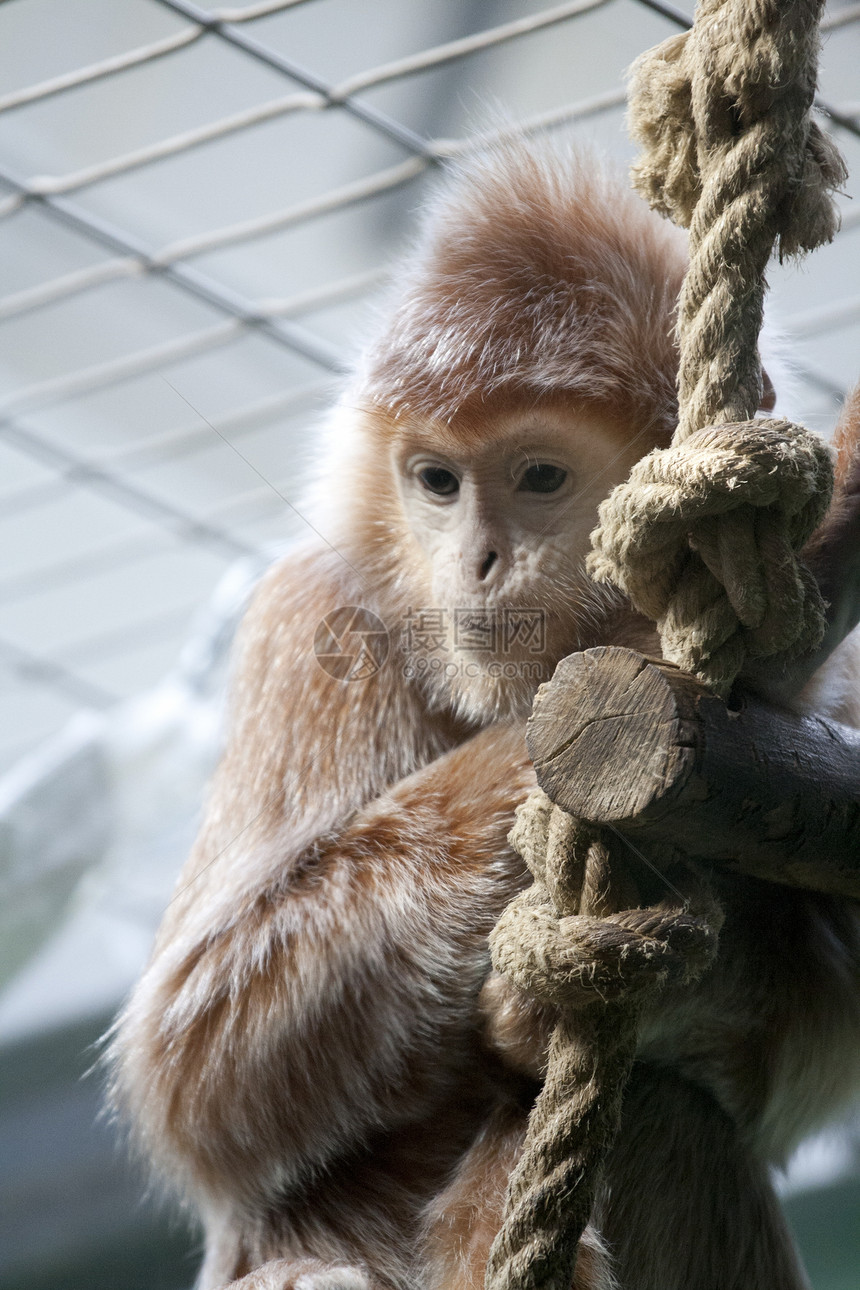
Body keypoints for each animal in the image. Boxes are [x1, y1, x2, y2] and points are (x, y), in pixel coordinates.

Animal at [110, 141, 860, 1290]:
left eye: (539, 475)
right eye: (436, 482)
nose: (476, 559)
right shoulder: (313, 619)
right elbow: (195, 1060)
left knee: (668, 1110)